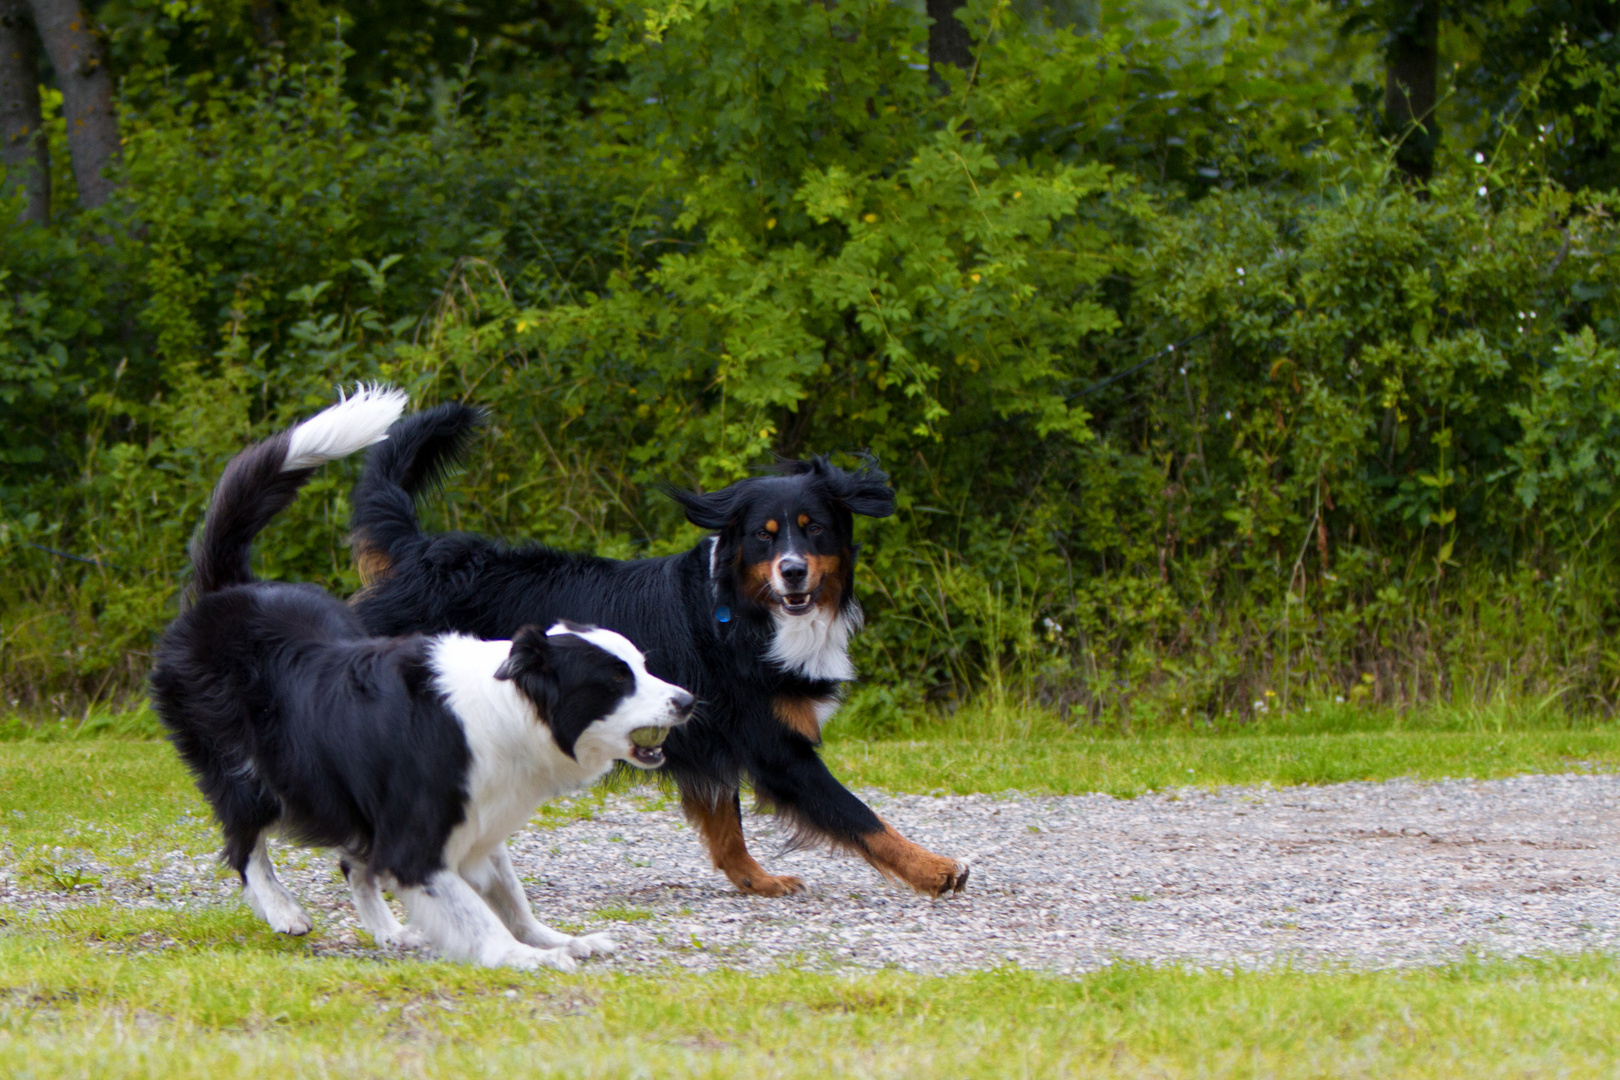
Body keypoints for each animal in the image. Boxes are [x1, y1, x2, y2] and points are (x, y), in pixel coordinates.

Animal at [144, 393, 690, 977]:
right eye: (616, 679)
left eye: (643, 664)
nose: (688, 700)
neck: (505, 708)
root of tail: (228, 592)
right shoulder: (417, 846)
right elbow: (479, 919)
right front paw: (524, 956)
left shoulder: (475, 830)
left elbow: (512, 901)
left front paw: (558, 940)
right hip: (248, 771)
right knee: (245, 844)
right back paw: (282, 909)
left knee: (351, 863)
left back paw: (386, 931)